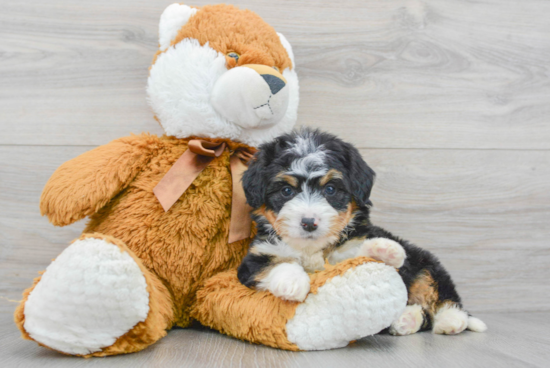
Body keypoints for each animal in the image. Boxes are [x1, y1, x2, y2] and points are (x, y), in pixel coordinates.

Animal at [237, 128, 488, 334]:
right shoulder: (254, 258)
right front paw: (292, 282)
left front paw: (385, 249)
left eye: (330, 189)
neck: (313, 248)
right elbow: (275, 263)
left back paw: (450, 320)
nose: (309, 222)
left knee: (441, 294)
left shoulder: (351, 245)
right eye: (287, 191)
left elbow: (359, 254)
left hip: (427, 264)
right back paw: (407, 319)